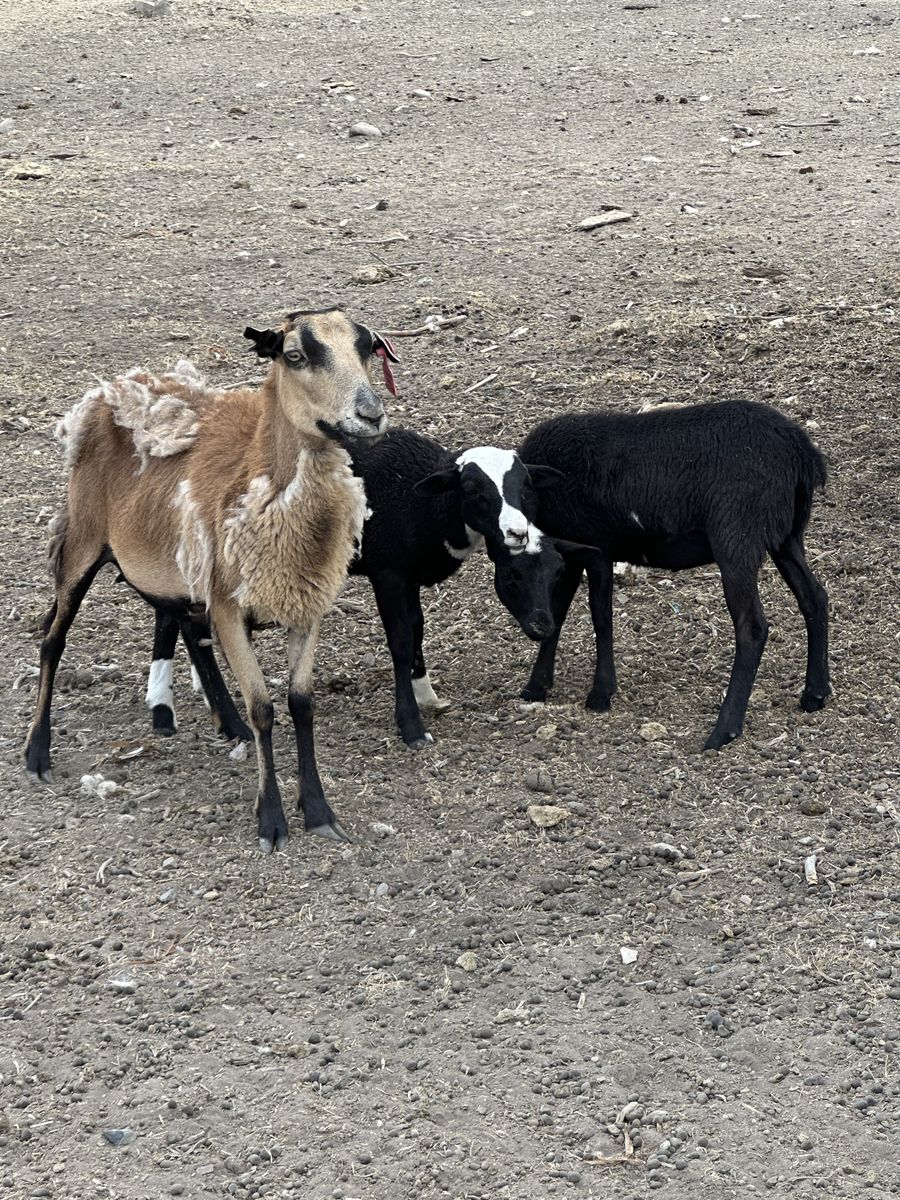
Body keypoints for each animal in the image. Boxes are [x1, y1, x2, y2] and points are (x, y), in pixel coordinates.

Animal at [24, 307, 399, 851]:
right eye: (295, 356)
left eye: (368, 348)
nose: (371, 414)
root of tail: (112, 389)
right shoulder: (228, 605)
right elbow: (264, 707)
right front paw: (271, 821)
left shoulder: (304, 604)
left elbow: (302, 704)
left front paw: (318, 811)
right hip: (84, 542)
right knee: (53, 640)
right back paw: (37, 753)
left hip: (175, 568)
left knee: (181, 624)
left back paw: (227, 722)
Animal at [144, 428, 594, 749]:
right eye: (471, 489)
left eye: (527, 487)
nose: (518, 532)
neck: (421, 501)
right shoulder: (388, 572)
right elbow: (400, 639)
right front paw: (411, 726)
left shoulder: (409, 574)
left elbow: (417, 629)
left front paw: (426, 693)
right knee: (186, 620)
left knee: (170, 613)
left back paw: (170, 705)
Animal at [508, 399, 830, 750]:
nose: (532, 627)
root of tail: (800, 451)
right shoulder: (572, 550)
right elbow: (562, 609)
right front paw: (537, 686)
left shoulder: (596, 545)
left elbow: (600, 614)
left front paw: (600, 694)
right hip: (786, 536)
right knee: (814, 597)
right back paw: (815, 694)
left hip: (737, 537)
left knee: (752, 626)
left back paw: (724, 730)